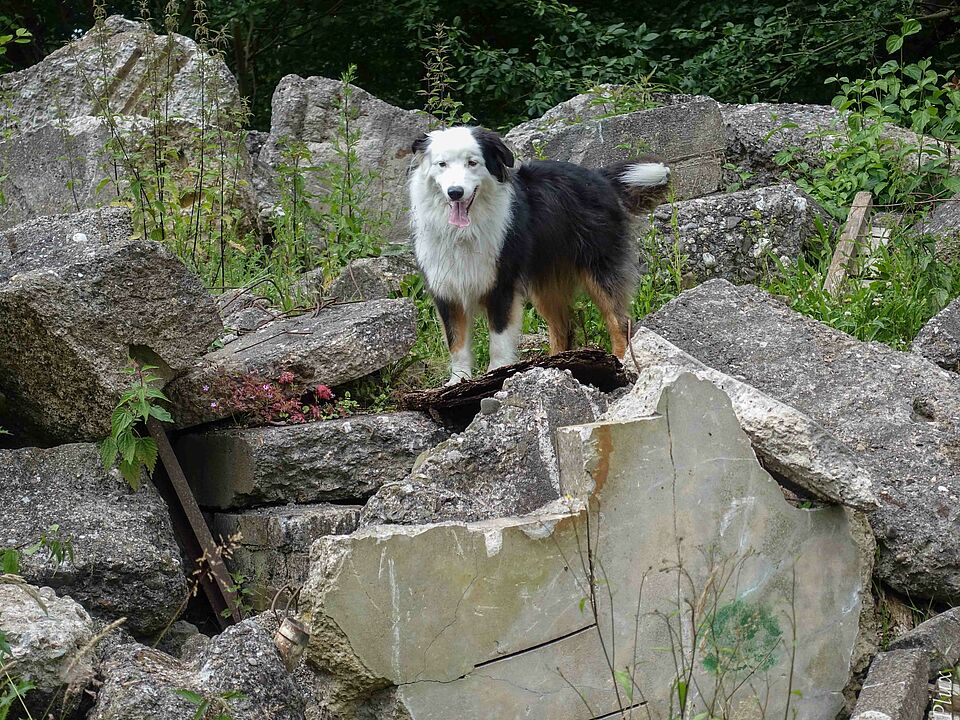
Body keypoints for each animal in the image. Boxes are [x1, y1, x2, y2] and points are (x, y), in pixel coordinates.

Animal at [408, 126, 672, 386]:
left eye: (472, 163)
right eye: (442, 164)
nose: (455, 192)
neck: (464, 232)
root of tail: (598, 176)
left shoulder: (502, 286)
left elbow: (499, 341)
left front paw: (495, 374)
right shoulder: (447, 291)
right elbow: (457, 344)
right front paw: (457, 381)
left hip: (599, 267)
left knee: (619, 320)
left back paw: (619, 361)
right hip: (546, 282)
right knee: (563, 327)